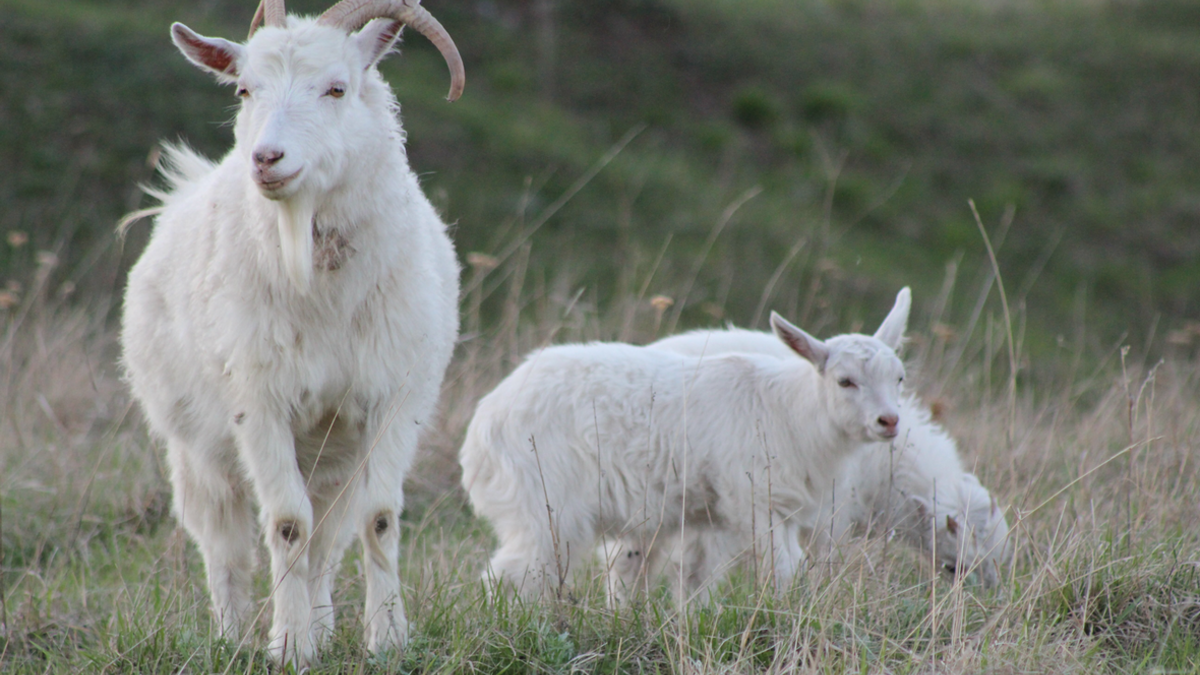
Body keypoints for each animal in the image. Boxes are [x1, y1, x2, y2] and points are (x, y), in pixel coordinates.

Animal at [118, 0, 463, 662]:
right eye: (244, 89)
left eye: (337, 88)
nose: (266, 159)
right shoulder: (259, 403)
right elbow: (286, 525)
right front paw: (290, 646)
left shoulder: (393, 398)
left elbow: (378, 519)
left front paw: (388, 640)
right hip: (198, 450)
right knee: (226, 546)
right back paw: (232, 635)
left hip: (333, 459)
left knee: (328, 541)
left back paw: (325, 624)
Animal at [458, 288, 907, 598]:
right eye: (844, 381)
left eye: (899, 377)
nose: (889, 421)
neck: (792, 408)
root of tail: (481, 427)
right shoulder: (753, 499)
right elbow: (781, 569)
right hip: (545, 506)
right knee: (511, 575)